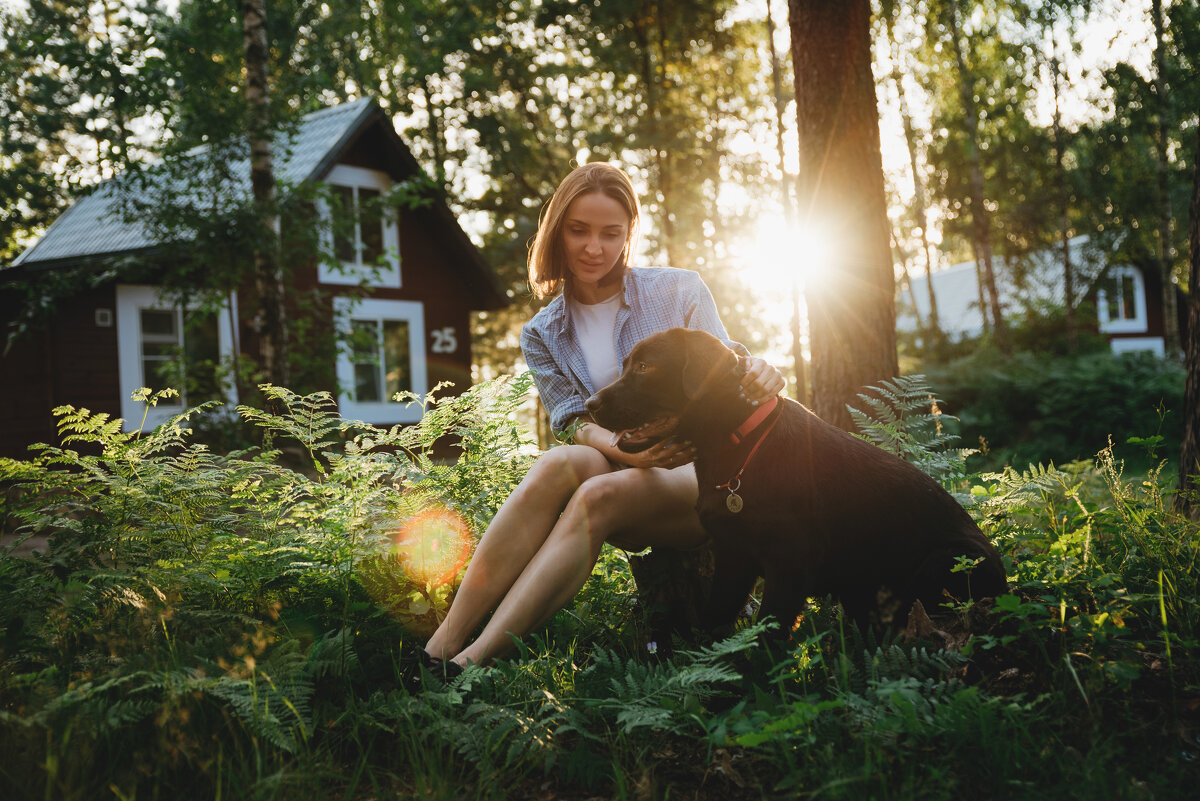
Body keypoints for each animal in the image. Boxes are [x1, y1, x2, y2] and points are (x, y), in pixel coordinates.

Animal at [585, 328, 1008, 633]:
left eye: (645, 368)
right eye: (627, 366)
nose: (588, 405)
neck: (739, 446)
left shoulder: (790, 562)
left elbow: (767, 637)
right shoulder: (733, 555)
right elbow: (715, 622)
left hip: (947, 559)